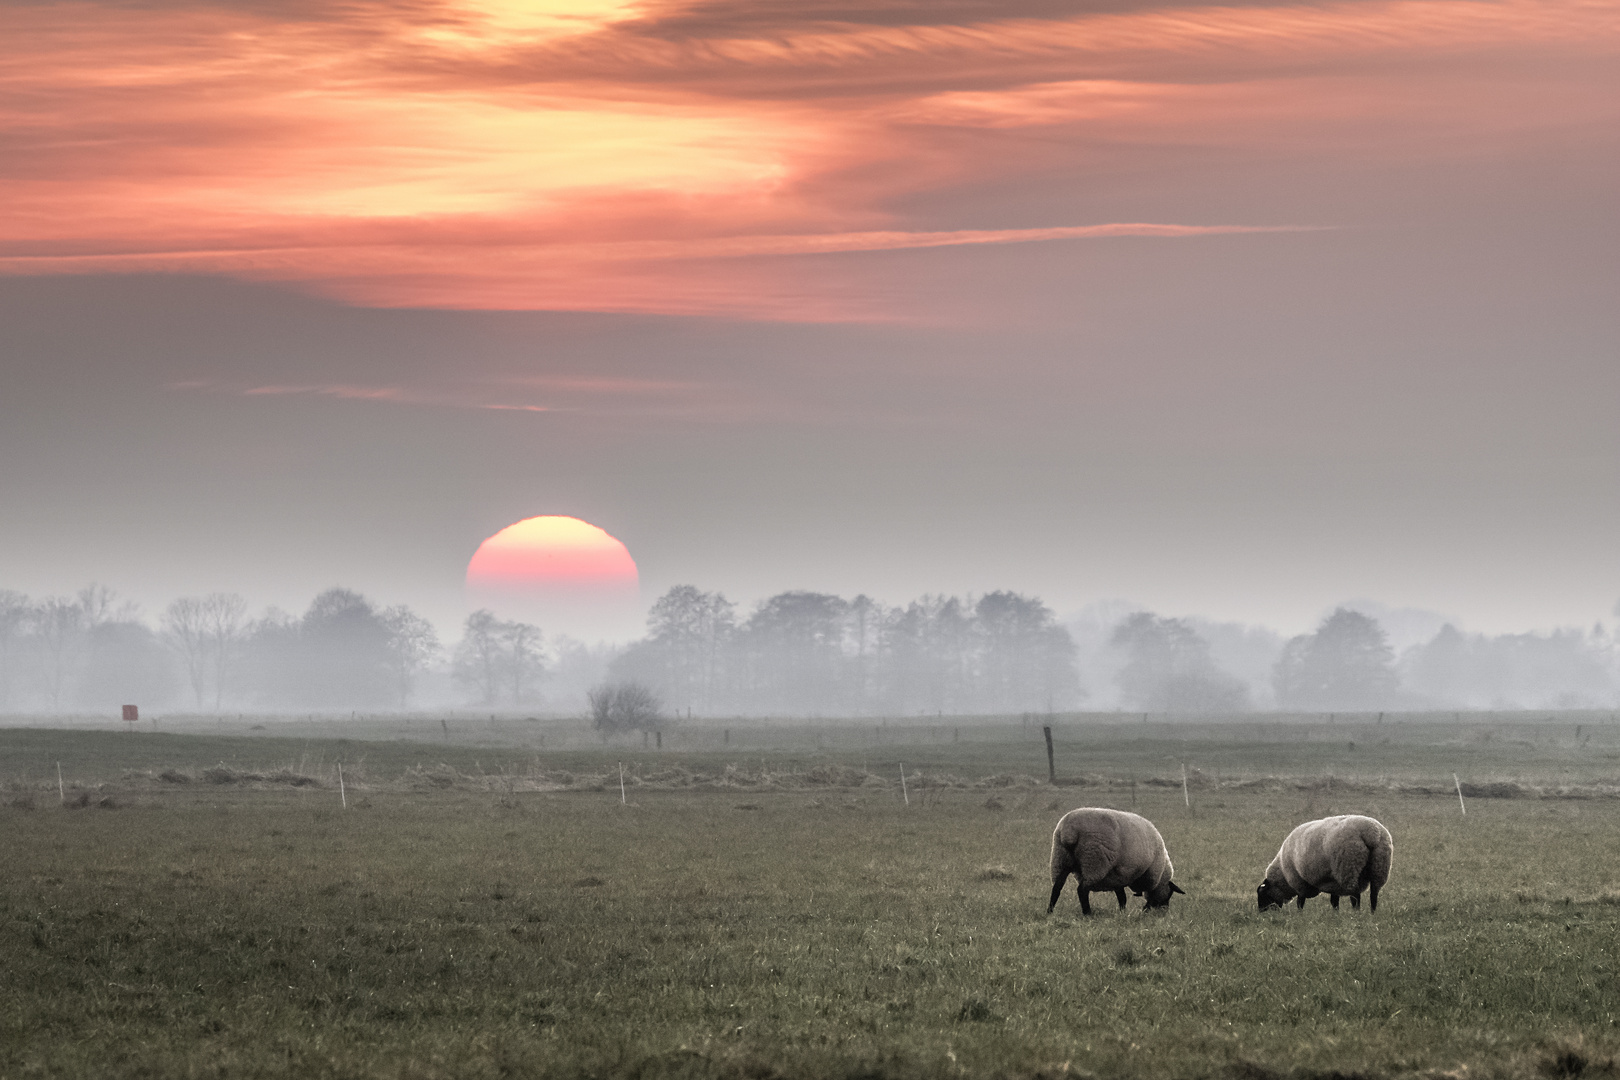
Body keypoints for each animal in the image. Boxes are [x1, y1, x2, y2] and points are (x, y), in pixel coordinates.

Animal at [1043, 806, 1185, 919]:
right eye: (1170, 894)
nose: (1164, 910)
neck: (1161, 875)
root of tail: (1069, 831)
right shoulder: (1143, 878)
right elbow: (1140, 897)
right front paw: (1143, 910)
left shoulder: (1118, 877)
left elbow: (1122, 897)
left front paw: (1123, 912)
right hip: (1095, 862)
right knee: (1082, 890)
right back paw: (1088, 913)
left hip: (1060, 859)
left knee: (1057, 888)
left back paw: (1050, 911)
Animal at [1250, 816, 1393, 919]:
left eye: (1262, 894)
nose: (1261, 913)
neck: (1283, 877)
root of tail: (1372, 833)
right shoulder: (1333, 882)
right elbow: (1334, 901)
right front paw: (1335, 914)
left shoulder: (1300, 882)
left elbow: (1300, 902)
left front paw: (1299, 915)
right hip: (1379, 867)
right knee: (1374, 894)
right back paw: (1372, 913)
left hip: (1349, 868)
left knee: (1355, 895)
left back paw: (1356, 914)